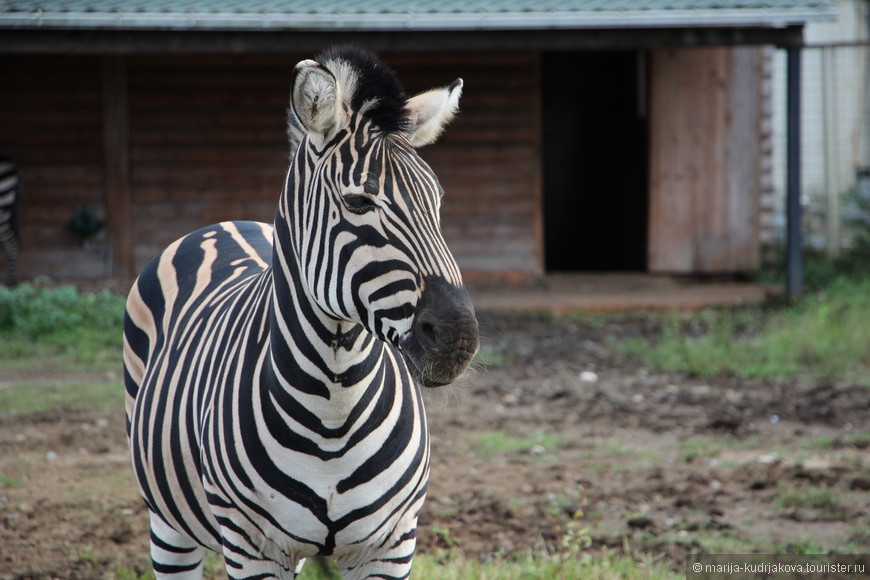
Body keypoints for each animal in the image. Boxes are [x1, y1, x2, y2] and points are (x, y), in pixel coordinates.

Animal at [123, 46, 480, 580]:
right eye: (358, 201)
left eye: (436, 202)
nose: (458, 338)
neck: (335, 409)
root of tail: (224, 223)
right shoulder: (253, 548)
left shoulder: (390, 544)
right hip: (169, 524)